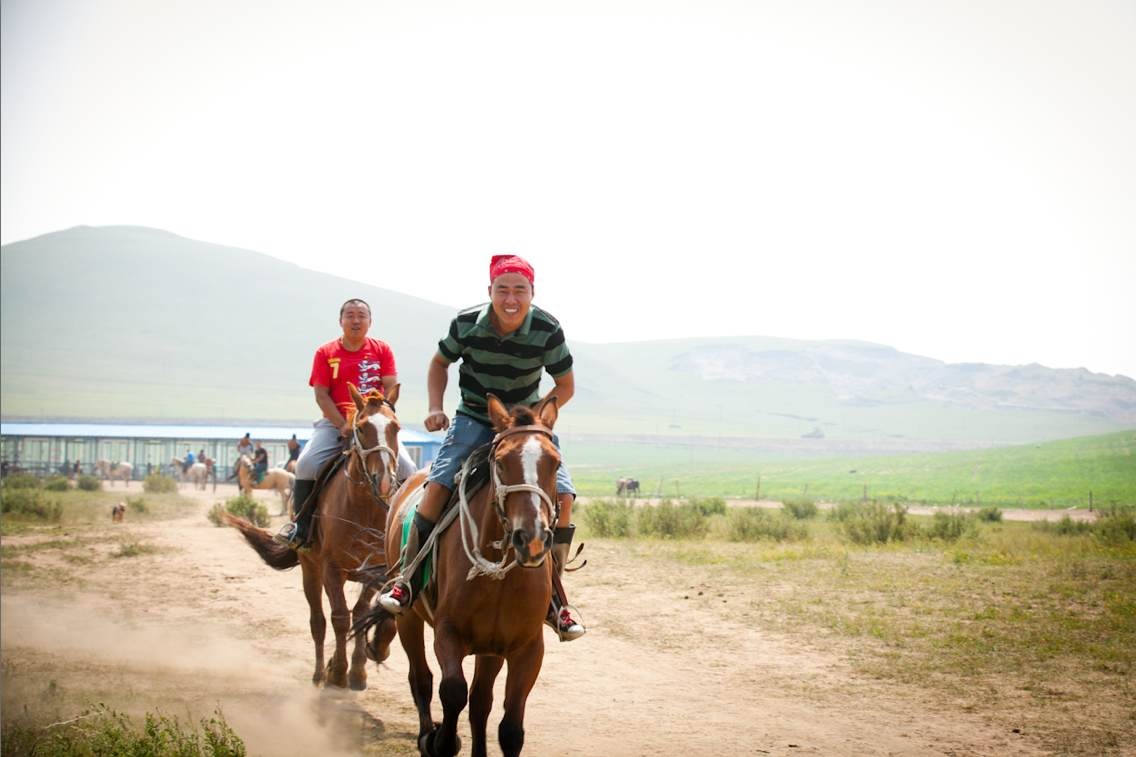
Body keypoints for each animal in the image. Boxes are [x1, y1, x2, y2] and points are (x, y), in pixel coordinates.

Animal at [223, 384, 402, 691]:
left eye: (396, 427)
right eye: (362, 428)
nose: (384, 481)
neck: (364, 507)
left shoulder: (375, 571)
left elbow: (362, 614)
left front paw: (359, 671)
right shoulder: (331, 568)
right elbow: (339, 617)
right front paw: (338, 672)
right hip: (310, 570)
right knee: (318, 621)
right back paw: (320, 673)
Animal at [358, 391, 558, 754]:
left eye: (555, 463)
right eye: (501, 463)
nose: (531, 538)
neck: (500, 578)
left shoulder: (526, 648)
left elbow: (509, 727)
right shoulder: (448, 633)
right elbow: (452, 690)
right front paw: (442, 741)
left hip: (491, 647)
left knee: (480, 701)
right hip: (409, 619)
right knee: (421, 678)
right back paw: (426, 733)